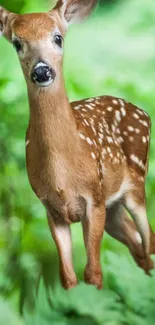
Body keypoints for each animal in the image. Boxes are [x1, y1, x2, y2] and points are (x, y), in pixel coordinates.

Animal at [0, 0, 155, 288]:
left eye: (58, 37)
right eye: (17, 43)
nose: (41, 70)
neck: (63, 175)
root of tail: (143, 112)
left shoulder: (94, 199)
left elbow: (93, 273)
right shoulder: (51, 209)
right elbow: (68, 277)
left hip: (136, 185)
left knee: (148, 240)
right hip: (113, 207)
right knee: (138, 245)